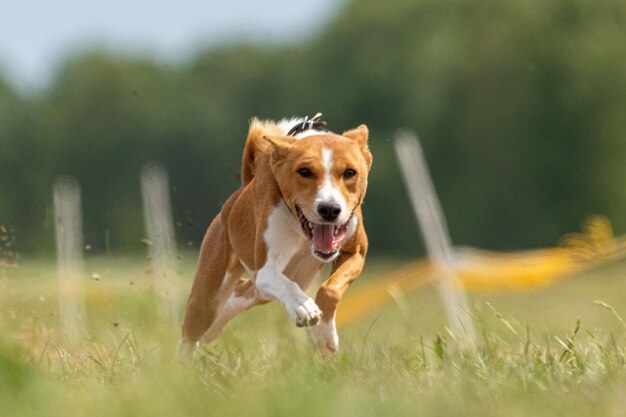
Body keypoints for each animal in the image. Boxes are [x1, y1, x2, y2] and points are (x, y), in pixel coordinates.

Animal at [177, 114, 370, 358]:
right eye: (304, 171)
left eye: (350, 172)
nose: (329, 209)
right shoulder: (266, 268)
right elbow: (286, 285)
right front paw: (303, 307)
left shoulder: (355, 253)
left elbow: (330, 290)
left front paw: (323, 337)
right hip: (209, 293)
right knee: (192, 329)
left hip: (290, 277)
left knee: (239, 295)